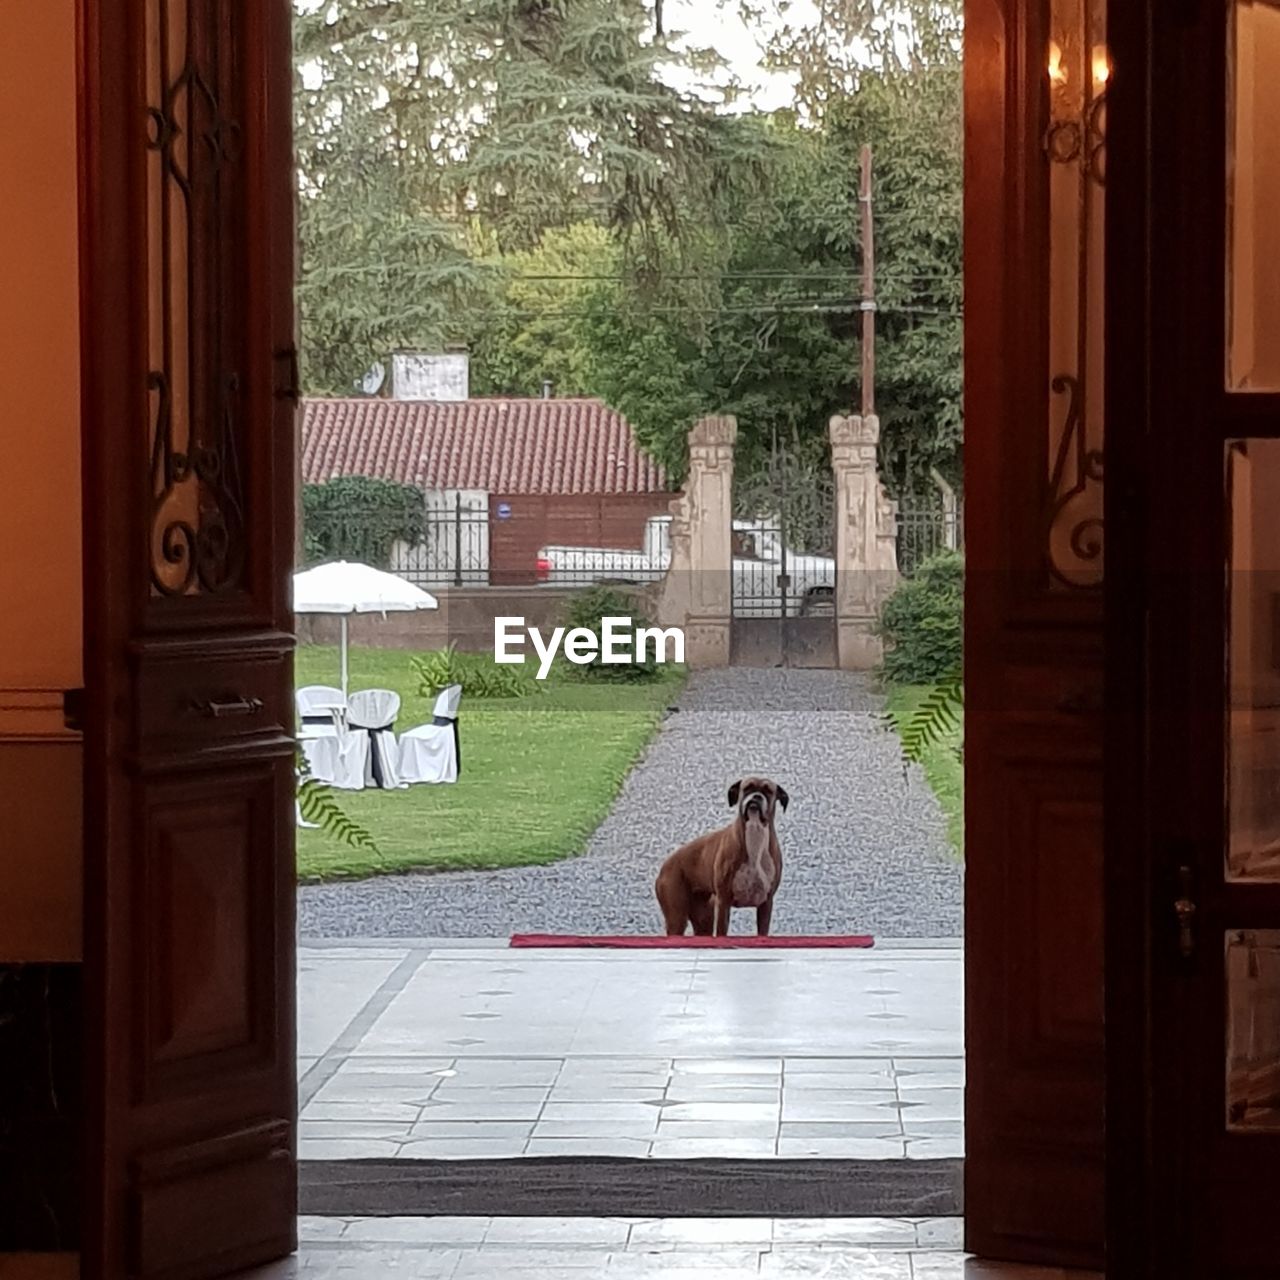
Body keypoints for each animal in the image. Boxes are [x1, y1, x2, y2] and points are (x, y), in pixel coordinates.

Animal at [660, 773, 788, 936]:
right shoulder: (723, 903)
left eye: (768, 791)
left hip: (703, 919)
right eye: (747, 788)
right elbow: (721, 932)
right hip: (677, 919)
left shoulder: (766, 904)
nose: (757, 796)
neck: (755, 832)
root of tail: (665, 866)